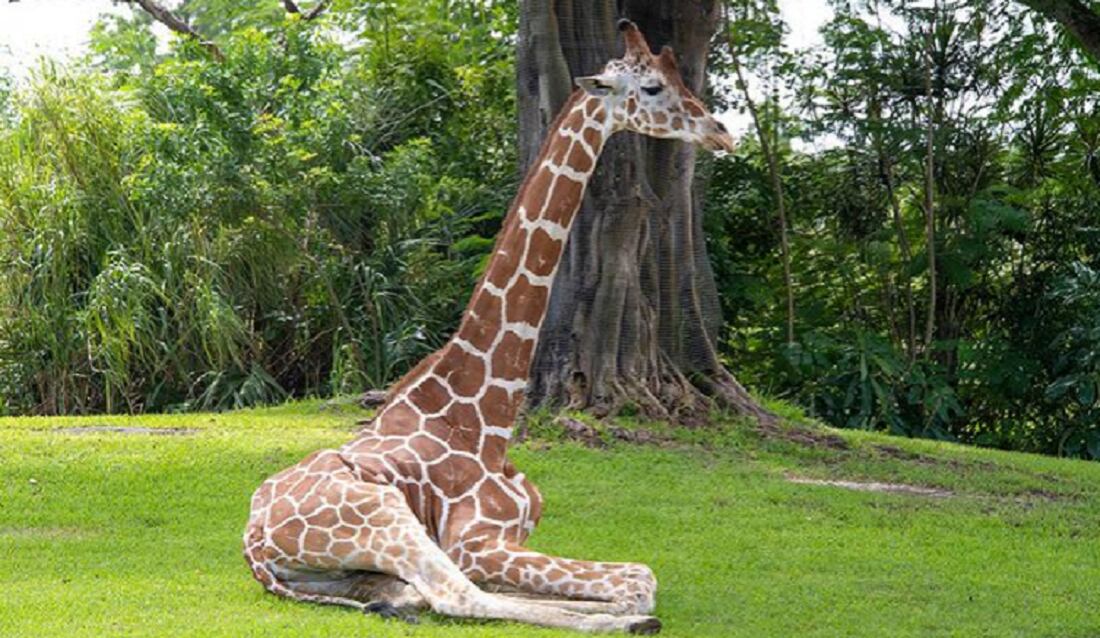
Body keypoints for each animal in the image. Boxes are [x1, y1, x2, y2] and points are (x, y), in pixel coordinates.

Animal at [243, 20, 735, 634]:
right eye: (651, 88)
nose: (721, 132)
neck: (487, 417)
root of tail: (254, 544)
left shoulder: (509, 539)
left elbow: (633, 579)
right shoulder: (476, 543)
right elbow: (640, 579)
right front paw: (620, 611)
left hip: (352, 566)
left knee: (414, 594)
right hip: (384, 512)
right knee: (456, 595)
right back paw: (615, 622)